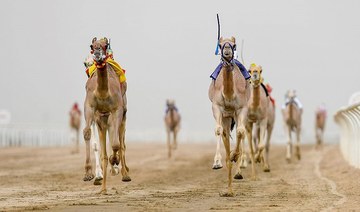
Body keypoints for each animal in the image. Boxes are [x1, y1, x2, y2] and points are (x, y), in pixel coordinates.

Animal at [208, 36, 250, 197]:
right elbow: (219, 131)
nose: (227, 50)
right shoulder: (217, 107)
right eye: (220, 45)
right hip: (226, 117)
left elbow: (240, 132)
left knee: (240, 133)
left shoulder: (241, 108)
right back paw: (229, 189)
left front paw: (234, 156)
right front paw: (217, 162)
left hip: (235, 116)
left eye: (234, 45)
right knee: (225, 134)